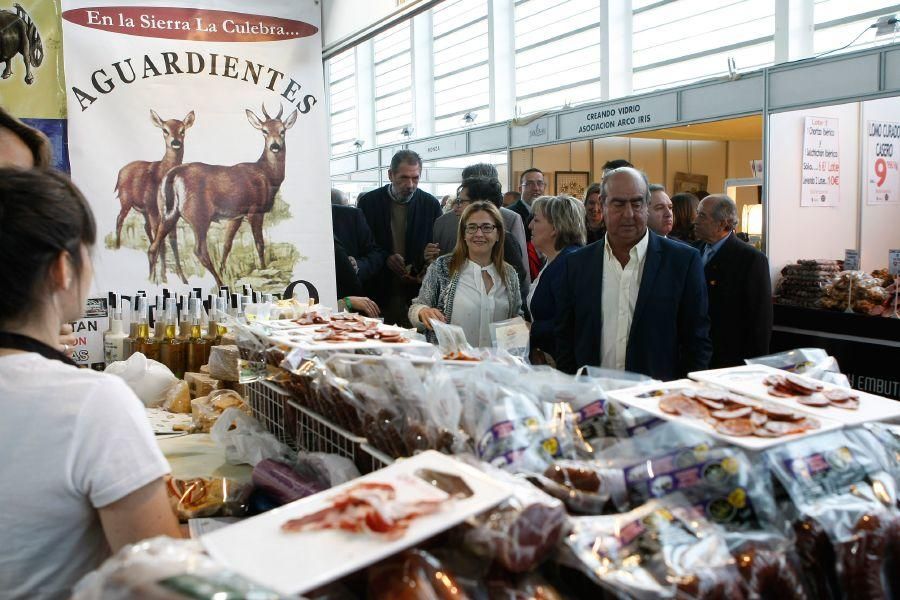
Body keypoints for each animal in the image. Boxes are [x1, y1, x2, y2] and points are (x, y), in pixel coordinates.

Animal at [115, 109, 194, 284]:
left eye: (182, 130)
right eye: (165, 130)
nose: (176, 142)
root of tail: (120, 171)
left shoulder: (167, 212)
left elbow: (172, 241)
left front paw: (180, 278)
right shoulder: (153, 209)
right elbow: (163, 242)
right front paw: (159, 277)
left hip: (143, 209)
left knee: (146, 228)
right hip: (126, 199)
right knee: (119, 219)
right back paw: (117, 247)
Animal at [152, 103, 296, 288]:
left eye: (282, 130)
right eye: (264, 131)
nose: (275, 146)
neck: (267, 175)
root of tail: (172, 174)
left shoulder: (237, 215)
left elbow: (227, 244)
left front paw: (223, 269)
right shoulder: (255, 209)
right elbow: (259, 243)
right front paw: (264, 271)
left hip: (166, 212)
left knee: (155, 245)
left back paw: (155, 280)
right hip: (199, 214)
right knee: (199, 251)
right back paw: (220, 284)